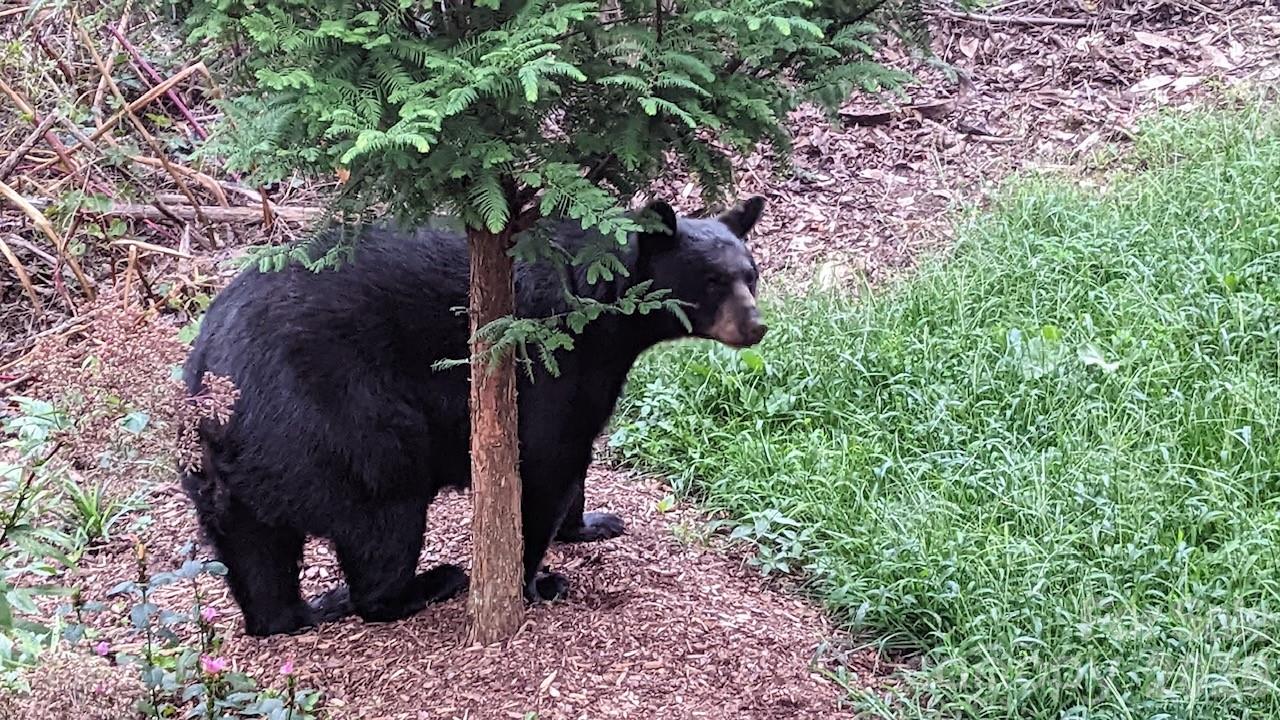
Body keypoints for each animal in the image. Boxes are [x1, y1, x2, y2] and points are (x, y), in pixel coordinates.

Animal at [180, 196, 768, 636]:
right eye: (712, 282)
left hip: (226, 472)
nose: (756, 326)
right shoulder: (547, 361)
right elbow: (543, 463)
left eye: (752, 275)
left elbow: (576, 452)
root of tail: (217, 389)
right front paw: (537, 582)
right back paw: (426, 583)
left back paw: (292, 613)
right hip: (342, 422)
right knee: (383, 515)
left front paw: (593, 523)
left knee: (254, 550)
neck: (603, 311)